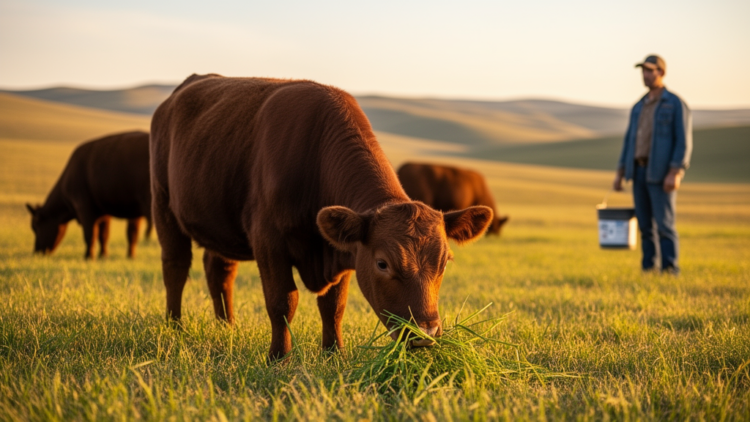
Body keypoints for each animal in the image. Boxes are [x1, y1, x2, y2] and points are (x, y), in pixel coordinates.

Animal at [26, 131, 153, 259]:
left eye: (36, 226)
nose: (36, 251)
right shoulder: (106, 212)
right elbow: (107, 235)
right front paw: (106, 255)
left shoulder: (84, 209)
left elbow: (90, 234)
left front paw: (89, 257)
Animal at [150, 74, 493, 360]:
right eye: (382, 263)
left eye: (445, 262)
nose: (424, 333)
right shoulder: (268, 240)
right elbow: (282, 301)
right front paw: (279, 358)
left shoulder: (340, 249)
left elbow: (333, 306)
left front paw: (334, 353)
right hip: (163, 204)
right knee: (175, 266)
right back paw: (175, 326)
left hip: (221, 223)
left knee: (219, 270)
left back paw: (227, 326)